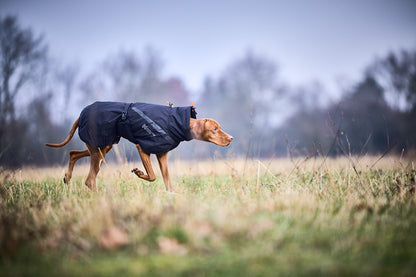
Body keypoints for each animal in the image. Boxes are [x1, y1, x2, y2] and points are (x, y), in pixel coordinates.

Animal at [46, 101, 234, 190]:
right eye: (215, 129)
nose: (231, 138)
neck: (177, 122)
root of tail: (82, 113)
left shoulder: (162, 155)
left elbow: (167, 182)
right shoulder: (142, 148)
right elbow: (152, 176)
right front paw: (139, 173)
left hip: (101, 147)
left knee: (73, 153)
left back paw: (67, 177)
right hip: (99, 151)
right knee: (89, 181)